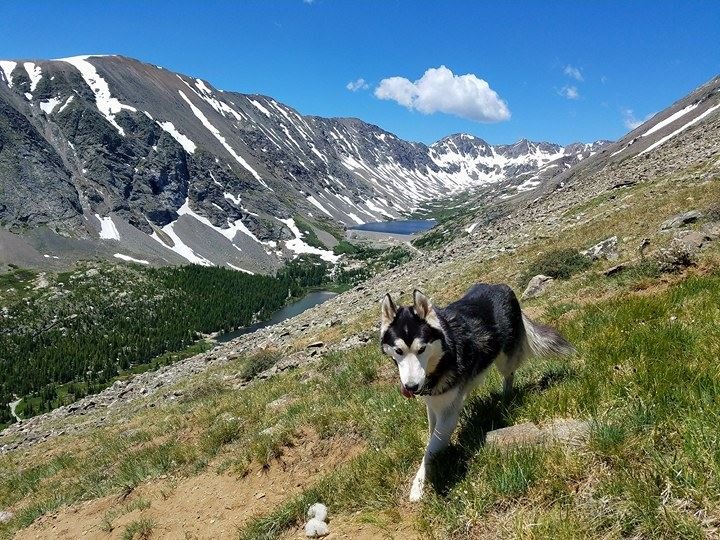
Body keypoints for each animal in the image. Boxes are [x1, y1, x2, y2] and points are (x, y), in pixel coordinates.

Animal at [376, 284, 572, 500]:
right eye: (399, 351)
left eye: (422, 349)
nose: (411, 387)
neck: (443, 357)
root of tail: (500, 285)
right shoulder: (433, 404)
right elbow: (432, 435)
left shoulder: (449, 415)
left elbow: (429, 450)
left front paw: (418, 485)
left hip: (505, 359)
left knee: (509, 374)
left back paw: (506, 398)